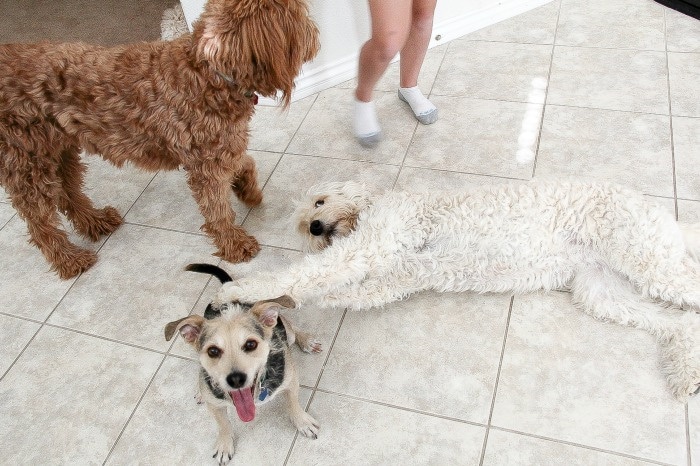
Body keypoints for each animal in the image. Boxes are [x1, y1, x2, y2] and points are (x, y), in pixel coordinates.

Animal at [0, 0, 320, 278]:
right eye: (299, 18)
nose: (316, 39)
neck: (208, 71)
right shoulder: (207, 164)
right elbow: (217, 208)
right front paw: (234, 244)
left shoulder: (220, 148)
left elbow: (245, 162)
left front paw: (248, 190)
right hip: (25, 163)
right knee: (40, 225)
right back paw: (69, 260)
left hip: (60, 150)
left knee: (68, 194)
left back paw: (96, 222)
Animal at [219, 180, 700, 398]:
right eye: (305, 225)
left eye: (319, 201)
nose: (316, 226)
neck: (374, 205)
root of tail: (669, 220)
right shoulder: (402, 273)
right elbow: (356, 291)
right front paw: (310, 301)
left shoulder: (372, 245)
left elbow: (307, 272)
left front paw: (238, 289)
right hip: (602, 292)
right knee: (679, 323)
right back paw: (685, 374)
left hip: (646, 257)